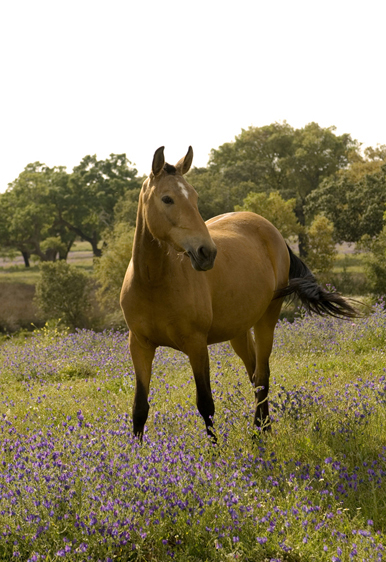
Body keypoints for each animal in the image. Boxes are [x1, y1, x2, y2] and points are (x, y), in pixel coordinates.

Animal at [119, 147, 358, 440]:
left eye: (195, 197)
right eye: (167, 198)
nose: (206, 252)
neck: (153, 282)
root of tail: (272, 230)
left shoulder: (197, 345)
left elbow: (205, 404)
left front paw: (215, 449)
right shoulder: (140, 346)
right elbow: (139, 408)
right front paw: (136, 452)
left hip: (267, 320)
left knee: (262, 376)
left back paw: (259, 432)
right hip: (239, 331)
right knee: (254, 374)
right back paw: (263, 427)